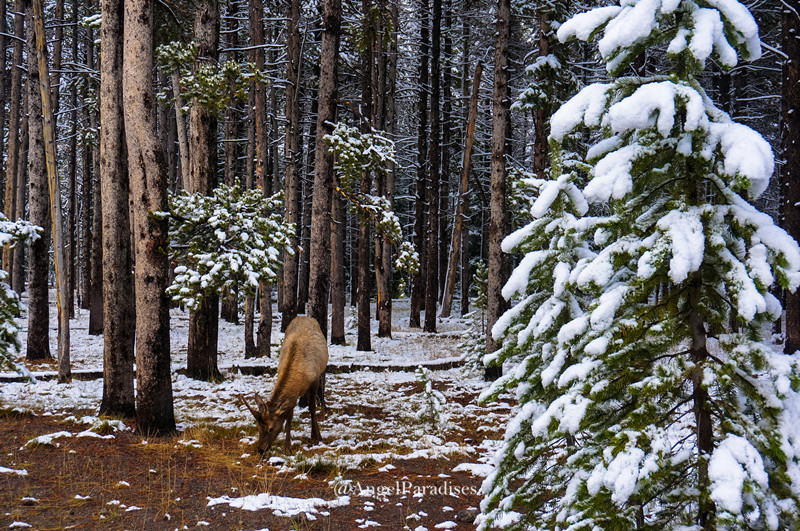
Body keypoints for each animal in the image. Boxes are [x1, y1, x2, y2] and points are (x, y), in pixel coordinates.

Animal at [238, 316, 328, 454]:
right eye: (258, 427)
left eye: (270, 428)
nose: (261, 449)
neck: (300, 377)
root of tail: (304, 316)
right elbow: (289, 417)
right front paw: (287, 446)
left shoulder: (314, 381)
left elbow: (312, 408)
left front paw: (315, 437)